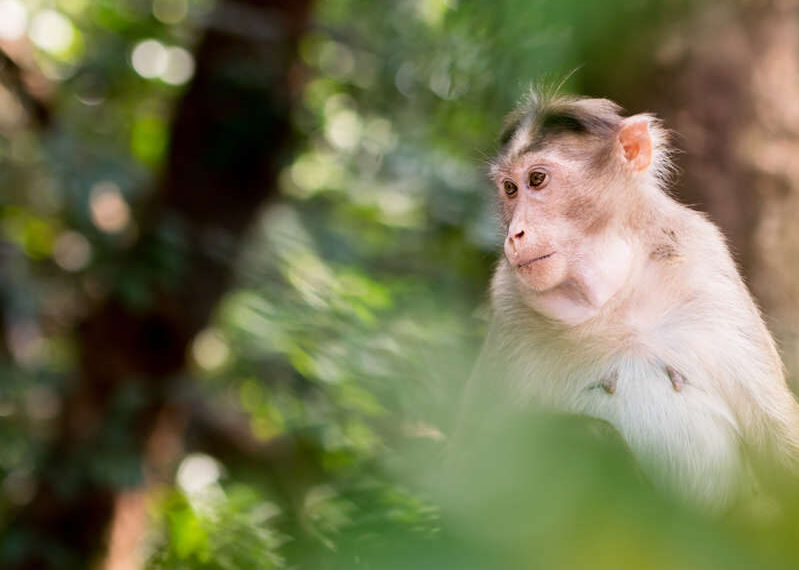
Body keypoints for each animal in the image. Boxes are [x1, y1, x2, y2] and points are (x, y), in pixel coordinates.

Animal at [460, 89, 799, 509]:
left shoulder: (707, 266)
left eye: (536, 179)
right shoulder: (507, 298)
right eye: (509, 189)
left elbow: (777, 438)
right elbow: (466, 468)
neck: (612, 294)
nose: (515, 234)